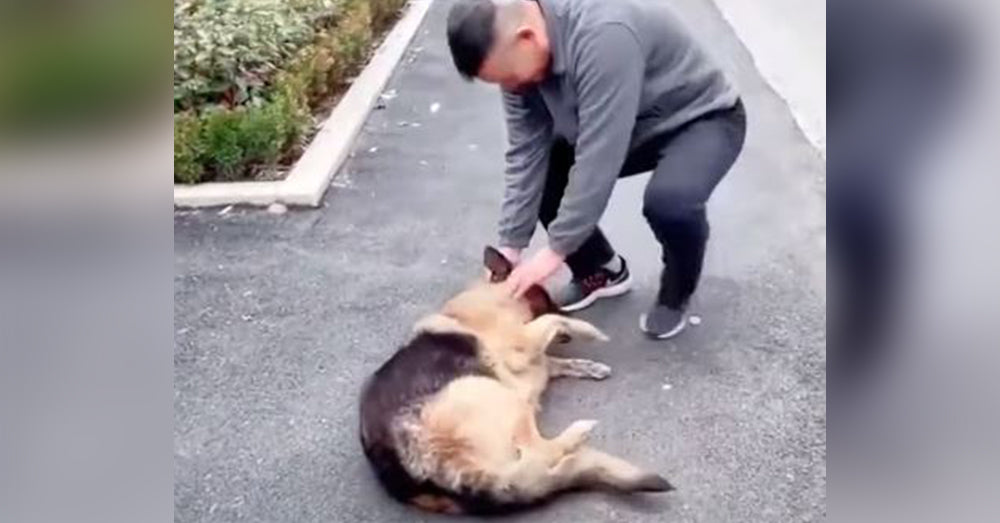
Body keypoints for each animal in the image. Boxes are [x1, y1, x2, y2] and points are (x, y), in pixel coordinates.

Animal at [360, 248, 672, 512]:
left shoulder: (535, 358)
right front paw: (586, 328)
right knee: (539, 453)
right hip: (491, 394)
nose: (566, 310)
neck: (491, 299)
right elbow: (549, 324)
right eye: (544, 299)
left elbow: (557, 361)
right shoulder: (522, 343)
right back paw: (577, 434)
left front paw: (589, 365)